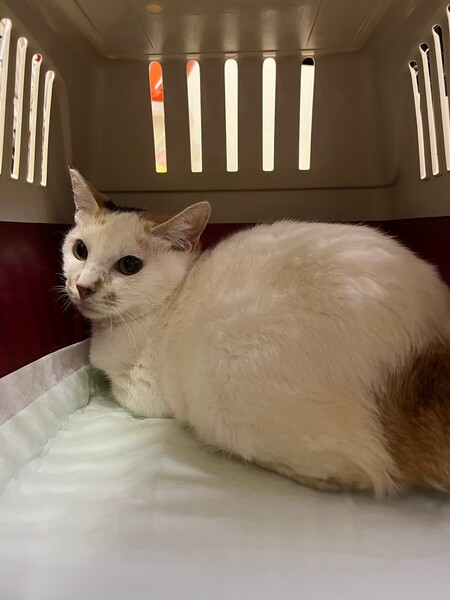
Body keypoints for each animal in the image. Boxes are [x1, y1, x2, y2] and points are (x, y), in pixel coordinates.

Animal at [63, 168, 450, 496]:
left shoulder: (142, 394)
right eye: (80, 250)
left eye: (130, 265)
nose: (83, 286)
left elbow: (117, 391)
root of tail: (422, 349)